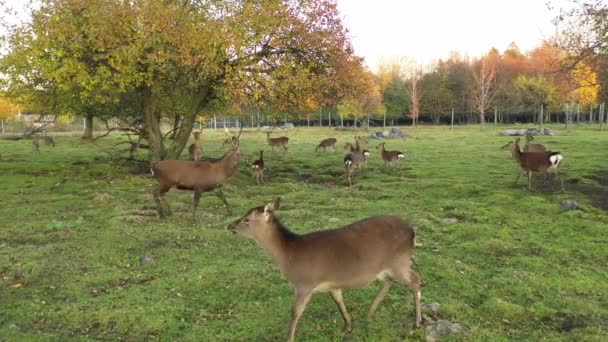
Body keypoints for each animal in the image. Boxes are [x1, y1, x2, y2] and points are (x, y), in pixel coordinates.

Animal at [228, 198, 422, 342]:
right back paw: (370, 313)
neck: (289, 256)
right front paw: (347, 327)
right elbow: (338, 300)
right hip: (387, 267)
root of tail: (412, 231)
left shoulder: (304, 284)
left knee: (416, 280)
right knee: (390, 280)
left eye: (246, 219)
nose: (230, 225)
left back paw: (417, 321)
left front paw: (289, 338)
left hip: (400, 261)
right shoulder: (332, 284)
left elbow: (295, 312)